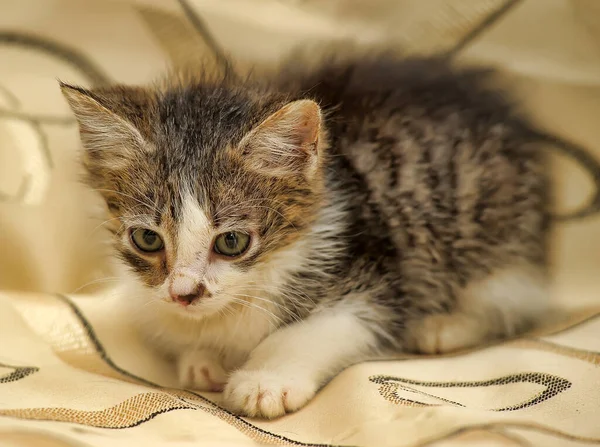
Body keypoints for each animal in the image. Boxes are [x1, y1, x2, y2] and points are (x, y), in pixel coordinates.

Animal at [59, 55, 548, 420]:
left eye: (231, 242)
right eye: (147, 239)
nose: (184, 294)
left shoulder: (376, 275)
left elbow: (320, 327)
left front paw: (265, 379)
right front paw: (201, 358)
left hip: (493, 228)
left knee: (509, 297)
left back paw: (443, 327)